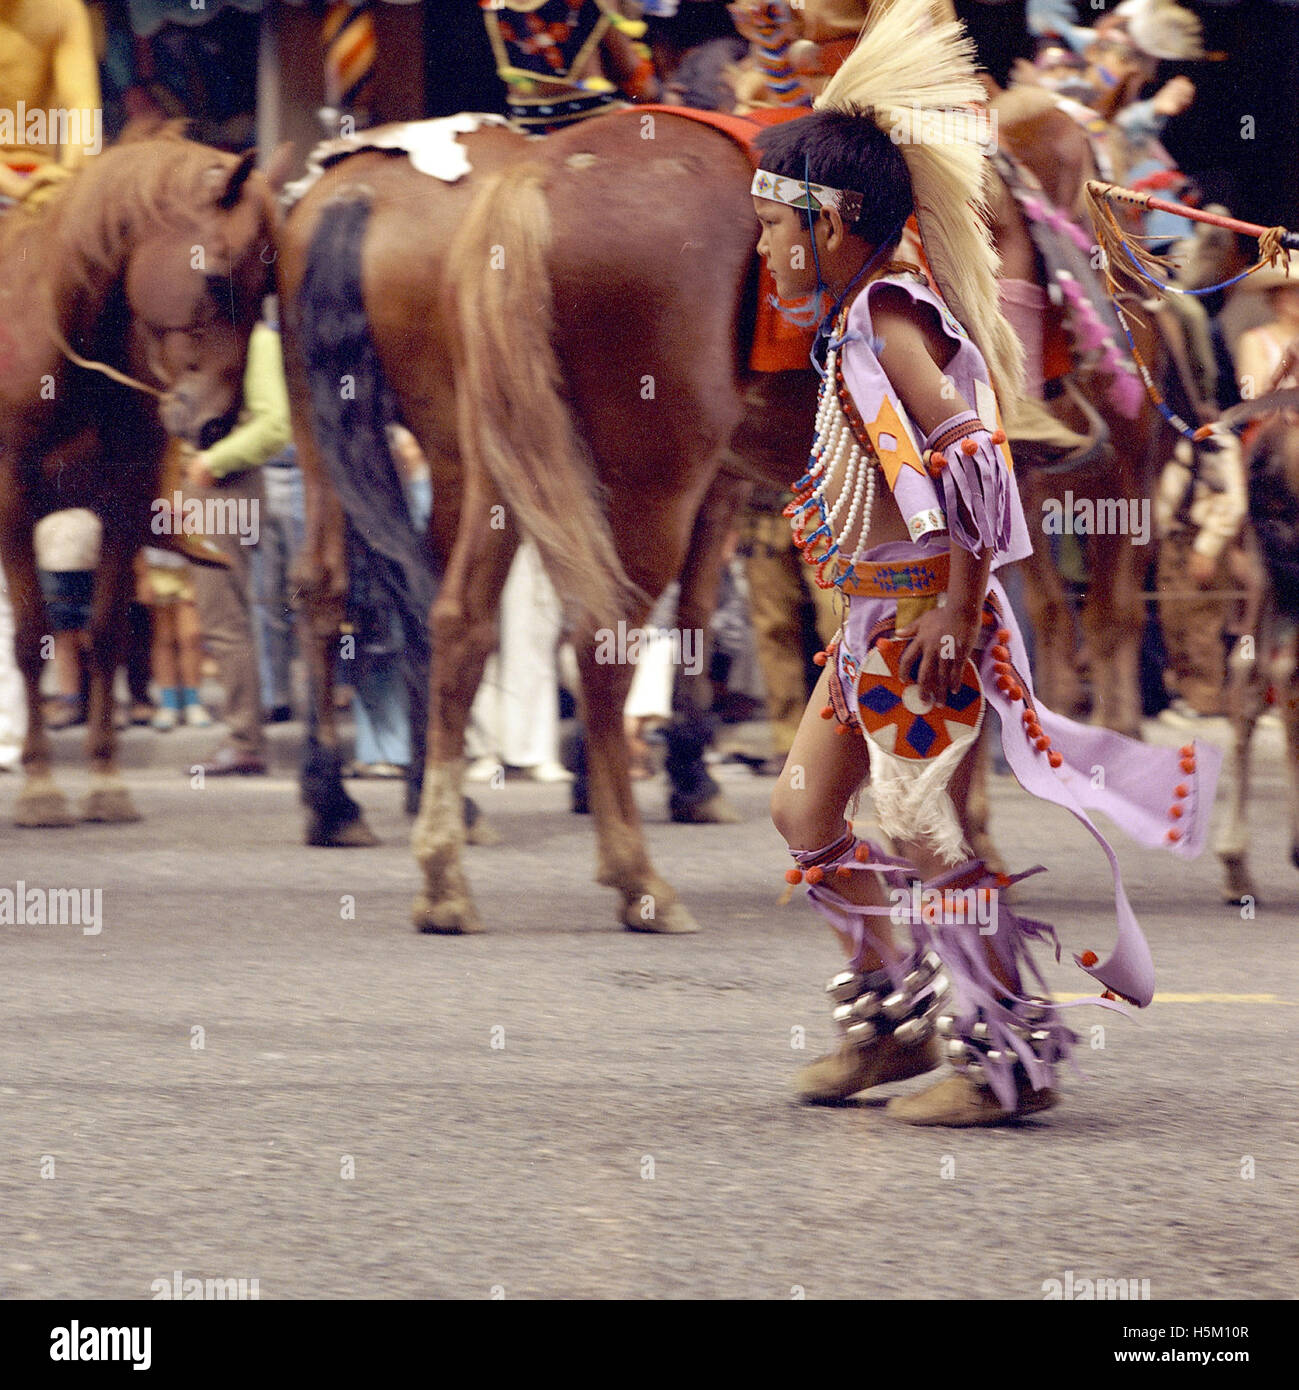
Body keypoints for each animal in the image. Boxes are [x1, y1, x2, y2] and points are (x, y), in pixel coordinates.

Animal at [0, 132, 282, 822]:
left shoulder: (121, 508)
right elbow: (31, 635)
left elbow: (105, 632)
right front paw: (41, 788)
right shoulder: (13, 503)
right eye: (214, 275)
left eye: (269, 284)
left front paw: (106, 781)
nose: (216, 424)